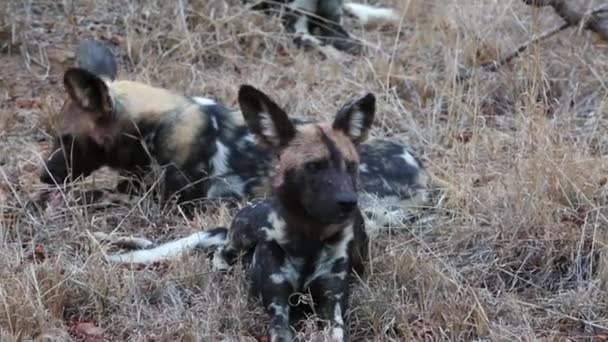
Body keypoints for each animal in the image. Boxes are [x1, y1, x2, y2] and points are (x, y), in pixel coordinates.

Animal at [97, 83, 378, 342]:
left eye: (351, 166)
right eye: (314, 166)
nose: (348, 202)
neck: (309, 238)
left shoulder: (333, 304)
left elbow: (336, 331)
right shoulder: (278, 304)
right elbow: (280, 331)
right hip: (245, 232)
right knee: (223, 249)